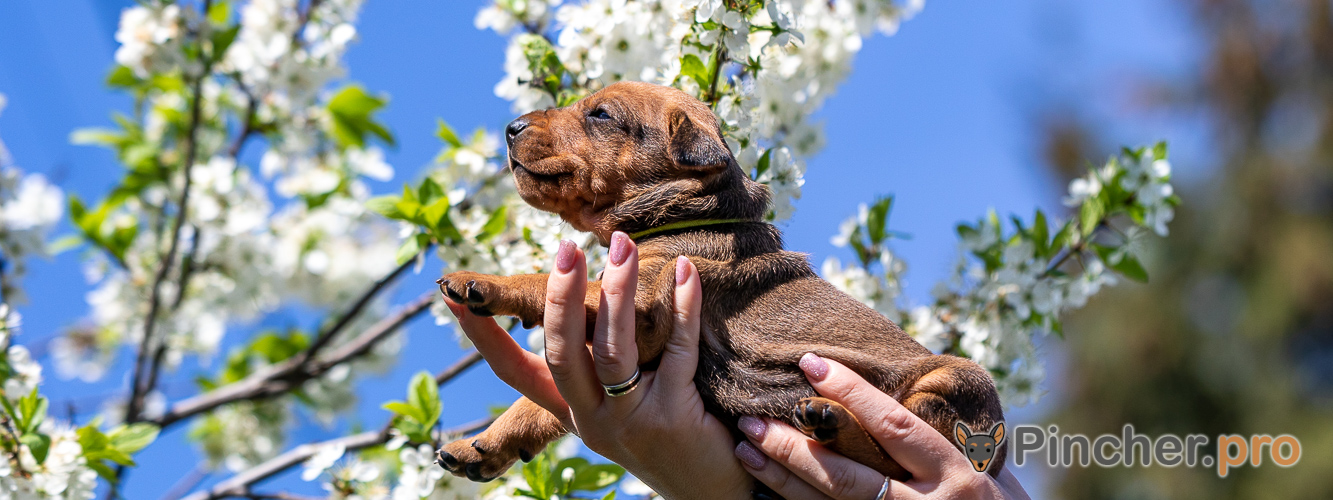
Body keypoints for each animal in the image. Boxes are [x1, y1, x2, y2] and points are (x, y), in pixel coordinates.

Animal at [437, 81, 1007, 493]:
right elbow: (533, 406)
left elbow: (547, 281)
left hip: (951, 387)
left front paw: (481, 281)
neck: (681, 215)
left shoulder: (641, 302)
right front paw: (481, 445)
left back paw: (829, 418)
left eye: (600, 114)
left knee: (900, 457)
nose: (510, 127)